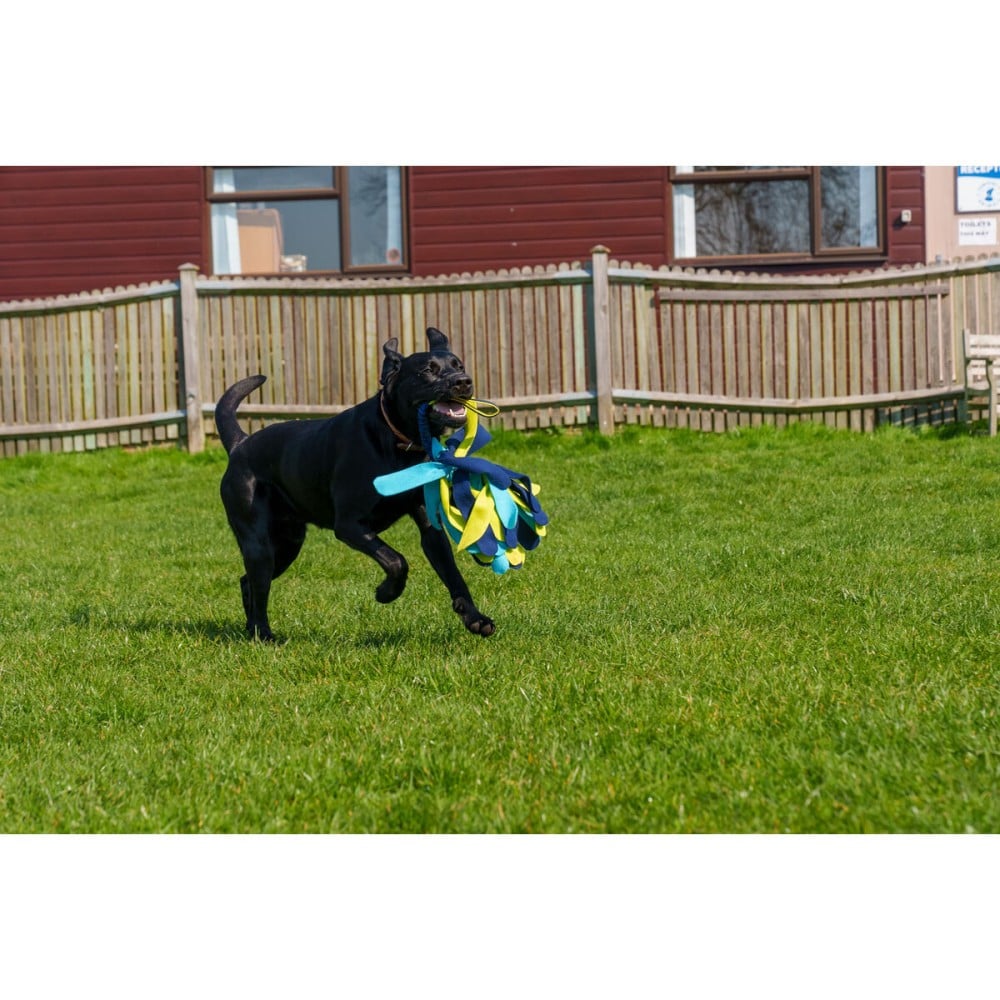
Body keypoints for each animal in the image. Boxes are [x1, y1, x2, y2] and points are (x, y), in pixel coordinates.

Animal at [220, 328, 500, 640]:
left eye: (458, 365)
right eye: (428, 370)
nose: (463, 381)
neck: (399, 443)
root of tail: (239, 444)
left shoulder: (430, 529)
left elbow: (453, 575)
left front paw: (475, 618)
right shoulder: (350, 525)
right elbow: (396, 560)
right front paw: (386, 593)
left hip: (288, 543)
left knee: (247, 582)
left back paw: (252, 630)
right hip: (258, 542)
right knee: (258, 584)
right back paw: (264, 634)